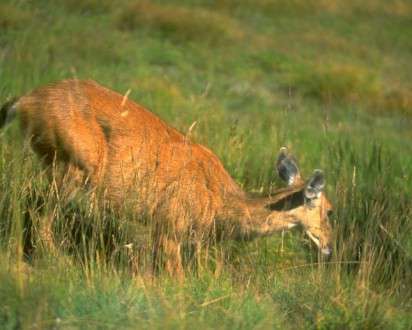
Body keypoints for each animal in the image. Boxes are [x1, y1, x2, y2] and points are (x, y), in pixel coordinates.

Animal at [0, 80, 334, 278]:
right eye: (330, 211)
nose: (330, 247)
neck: (219, 204)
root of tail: (25, 100)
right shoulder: (171, 224)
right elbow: (177, 278)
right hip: (74, 164)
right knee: (39, 212)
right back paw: (56, 261)